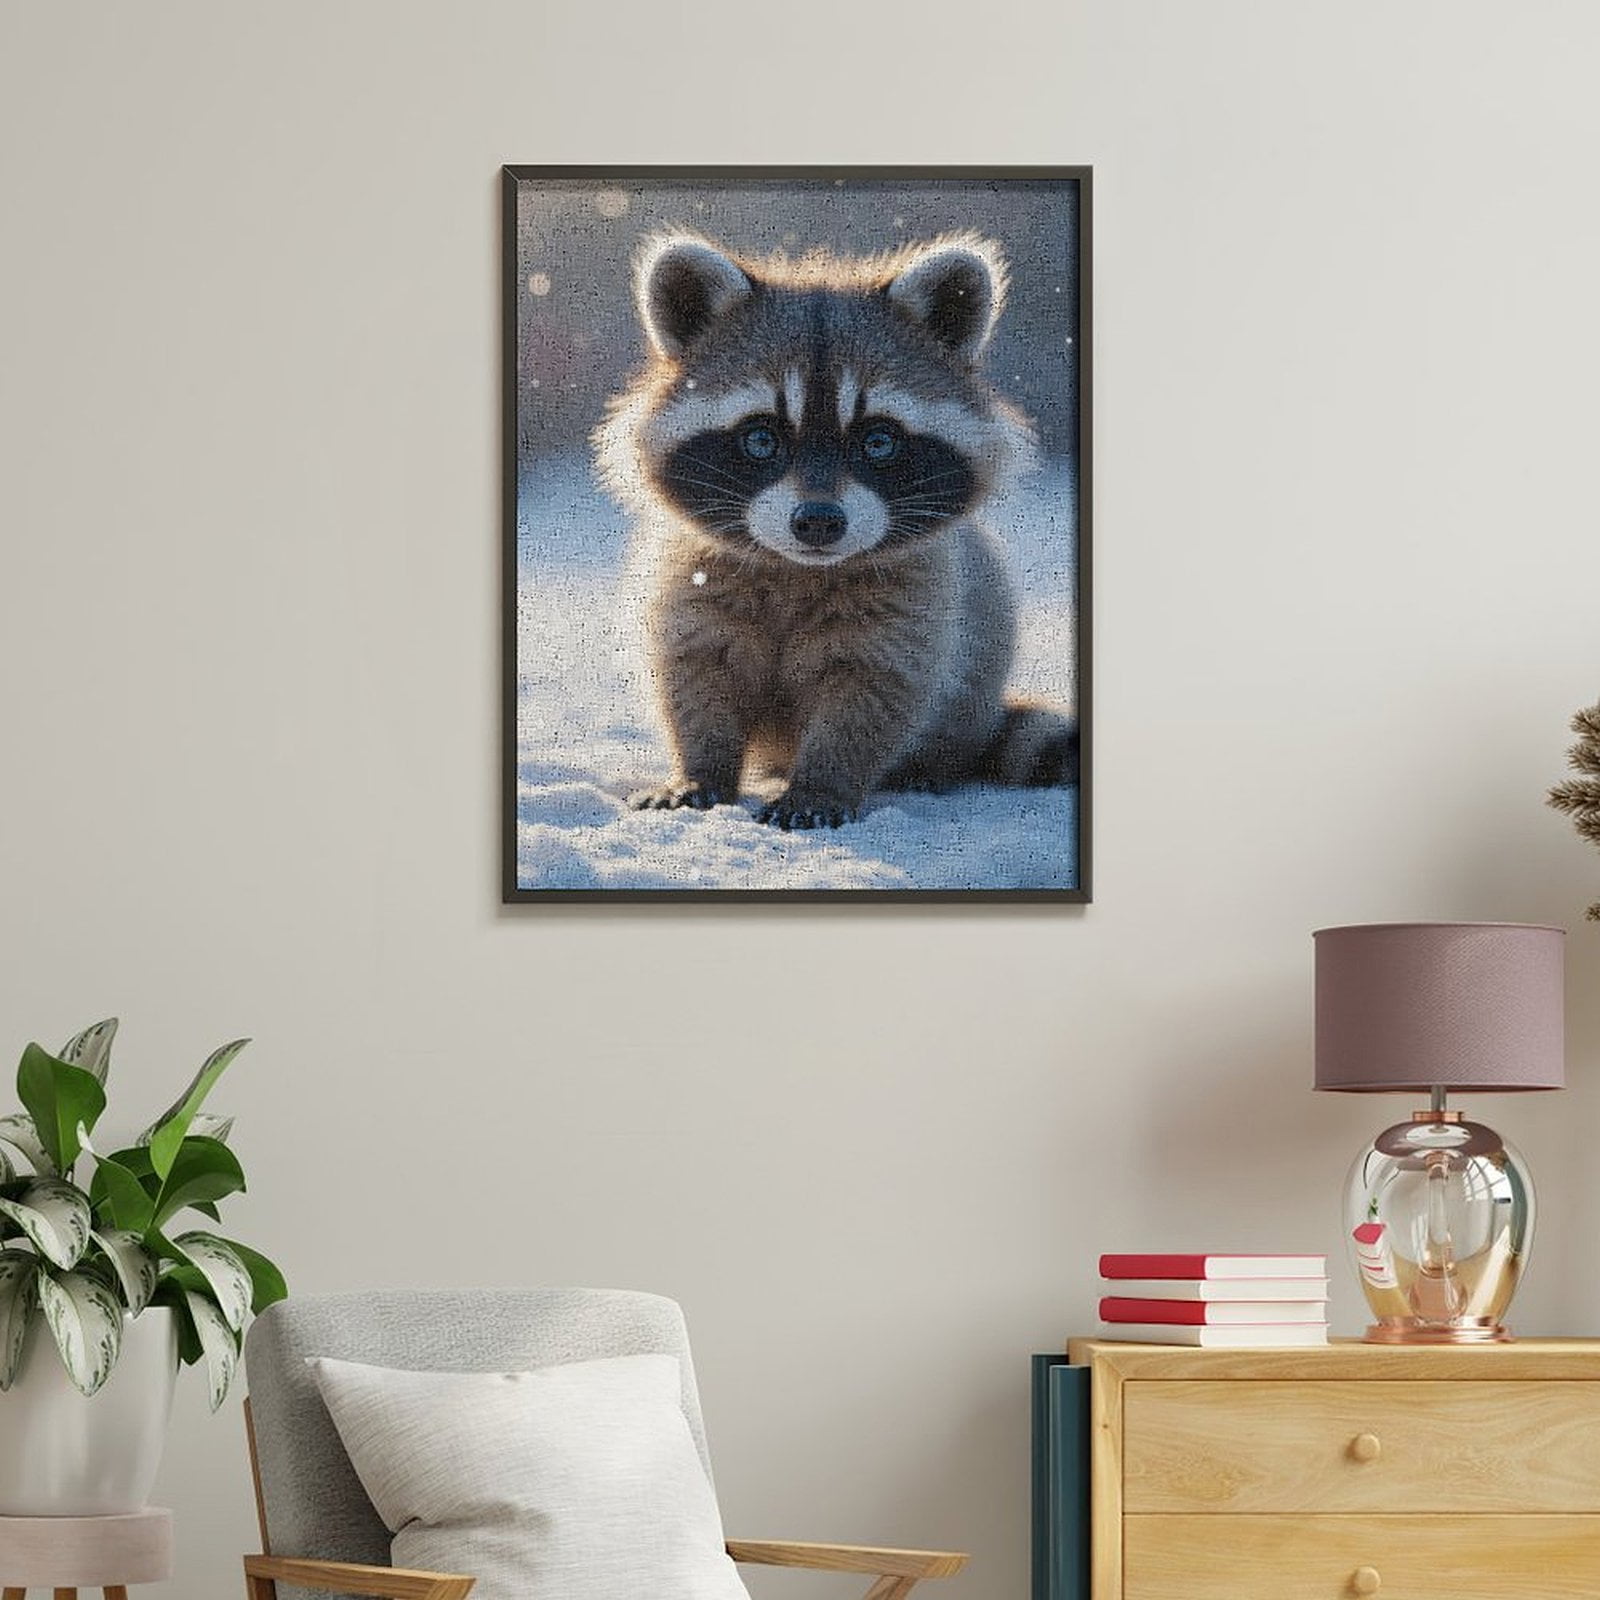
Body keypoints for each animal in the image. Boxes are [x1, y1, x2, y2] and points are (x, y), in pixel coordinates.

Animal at [594, 228, 1078, 829]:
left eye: (878, 440)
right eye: (761, 438)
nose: (819, 522)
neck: (795, 567)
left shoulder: (918, 600)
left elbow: (871, 696)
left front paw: (821, 783)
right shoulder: (688, 581)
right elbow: (695, 675)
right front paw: (700, 768)